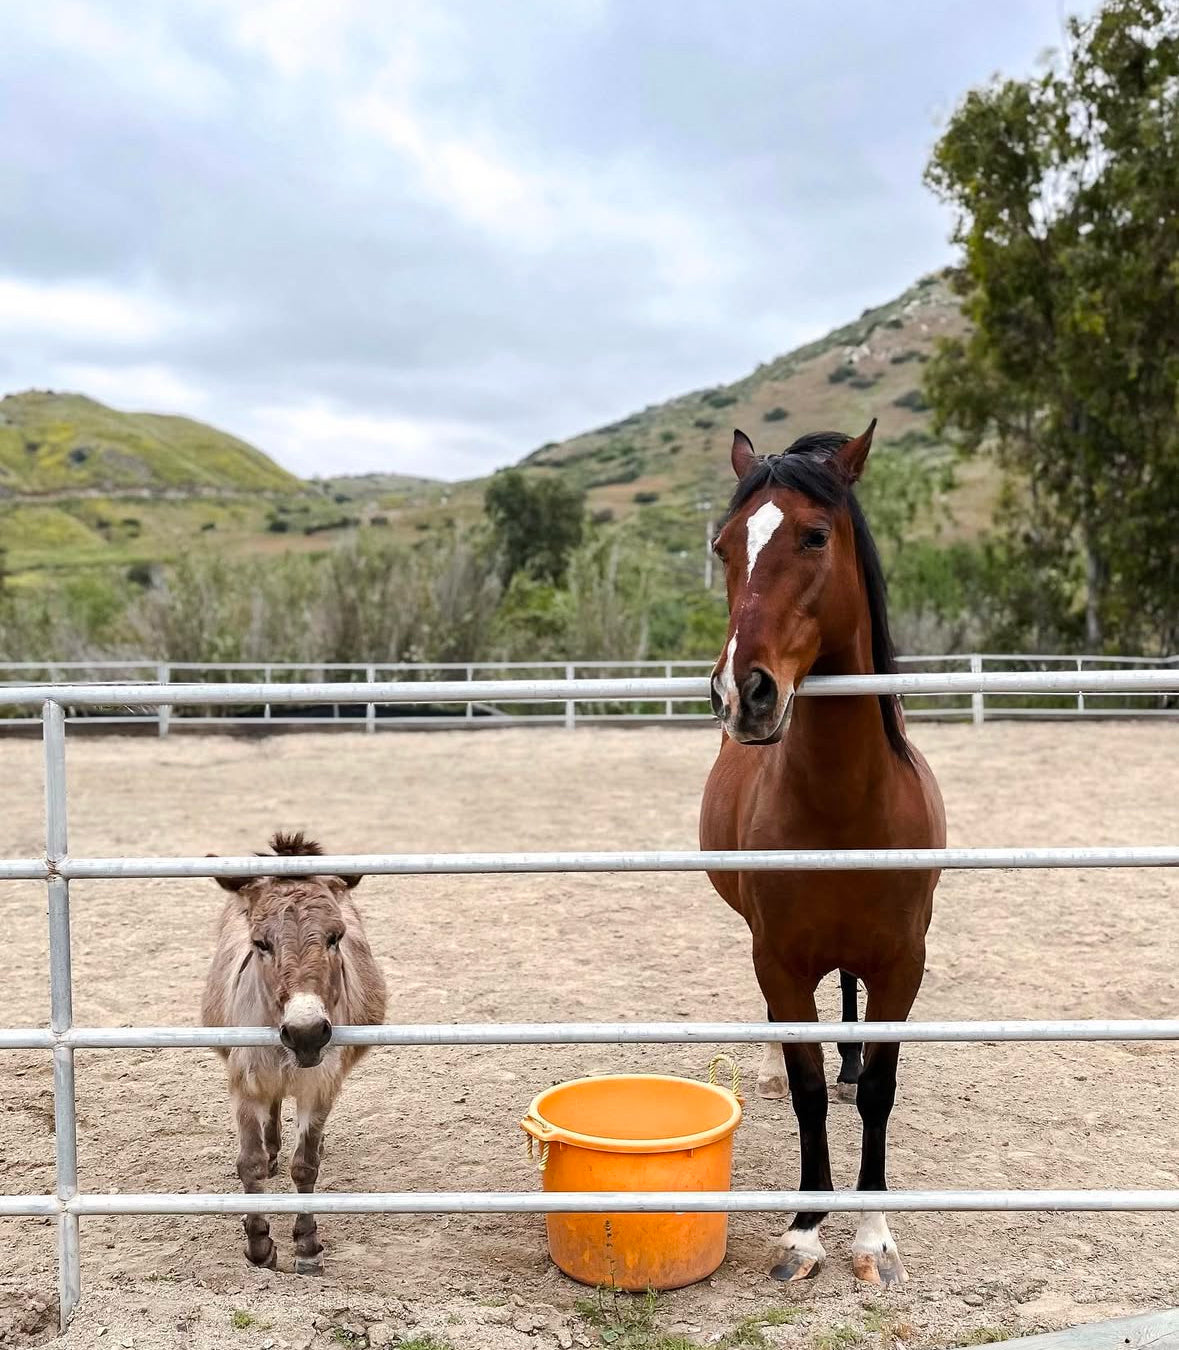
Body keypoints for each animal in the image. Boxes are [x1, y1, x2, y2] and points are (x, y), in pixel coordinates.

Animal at [199, 831, 386, 1274]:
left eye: (336, 937)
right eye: (259, 943)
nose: (306, 1033)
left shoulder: (319, 1085)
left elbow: (305, 1165)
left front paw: (306, 1245)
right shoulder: (244, 1082)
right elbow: (248, 1162)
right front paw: (259, 1246)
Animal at [696, 423, 945, 1285]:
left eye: (812, 536)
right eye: (723, 546)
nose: (741, 694)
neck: (843, 808)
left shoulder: (902, 962)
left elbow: (879, 1091)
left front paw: (873, 1238)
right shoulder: (777, 956)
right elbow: (805, 1089)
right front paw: (805, 1230)